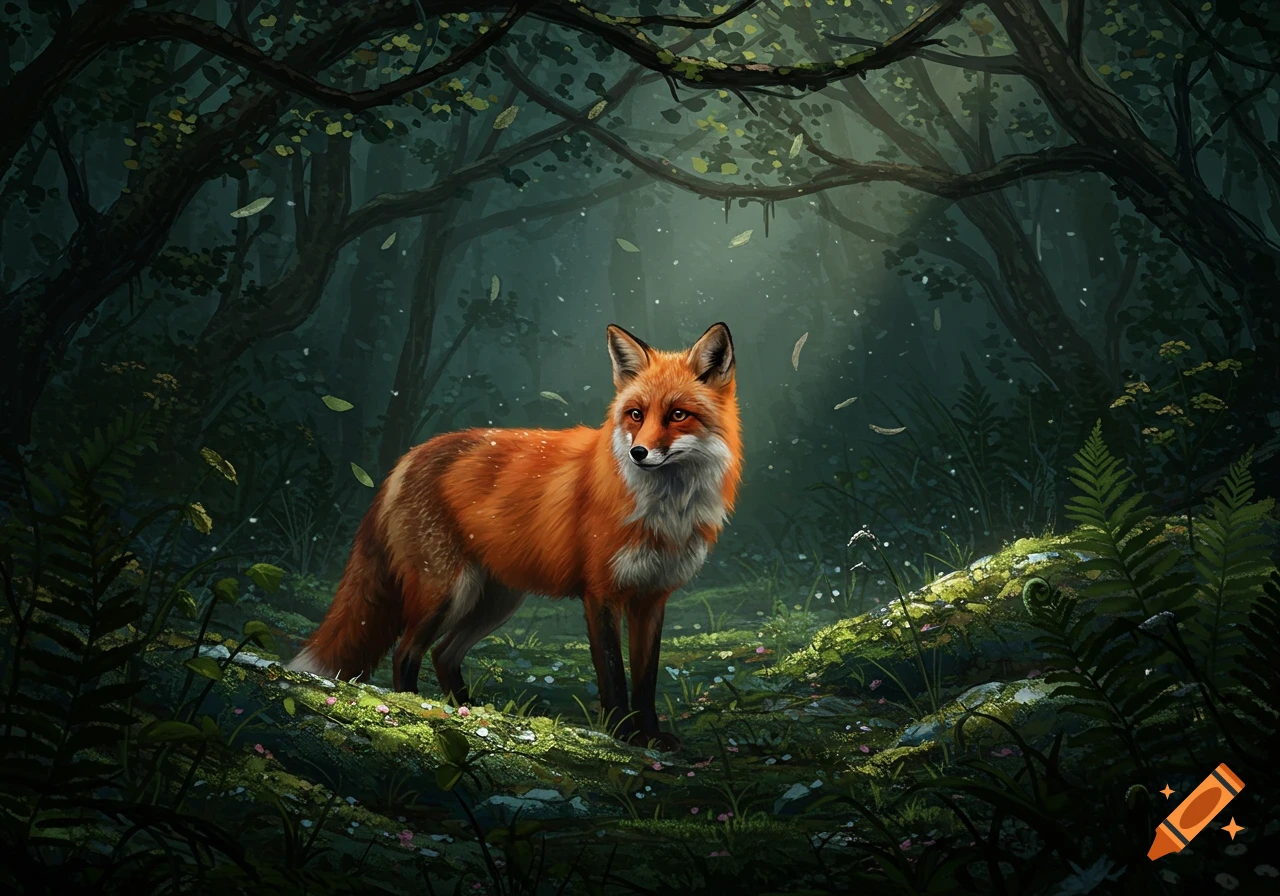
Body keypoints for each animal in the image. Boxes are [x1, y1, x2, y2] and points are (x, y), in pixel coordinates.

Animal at [287, 322, 741, 751]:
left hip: (494, 601)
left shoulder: (652, 599)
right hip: (447, 592)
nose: (638, 453)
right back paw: (418, 710)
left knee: (443, 653)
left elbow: (646, 681)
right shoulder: (601, 594)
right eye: (635, 414)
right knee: (405, 653)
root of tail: (408, 457)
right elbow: (613, 677)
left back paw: (470, 712)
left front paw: (651, 737)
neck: (664, 514)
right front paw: (622, 736)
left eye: (678, 415)